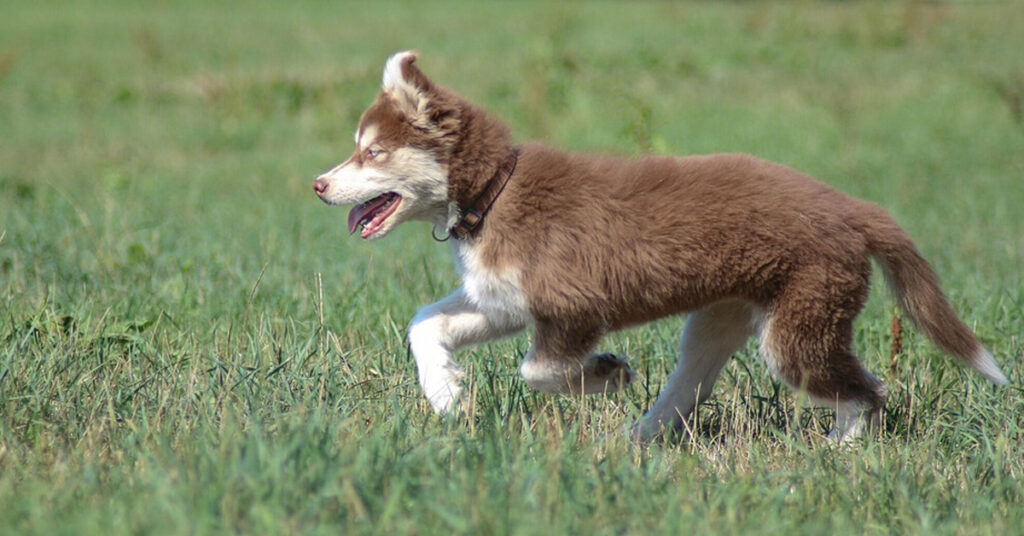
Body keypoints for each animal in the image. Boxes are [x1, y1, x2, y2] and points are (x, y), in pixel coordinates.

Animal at [313, 52, 1007, 442]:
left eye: (372, 152)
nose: (318, 184)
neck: (493, 193)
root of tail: (853, 207)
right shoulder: (504, 297)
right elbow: (426, 322)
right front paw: (447, 394)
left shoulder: (572, 303)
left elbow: (539, 369)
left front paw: (605, 373)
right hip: (722, 317)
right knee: (690, 386)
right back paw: (636, 440)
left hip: (802, 320)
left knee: (865, 391)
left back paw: (841, 452)